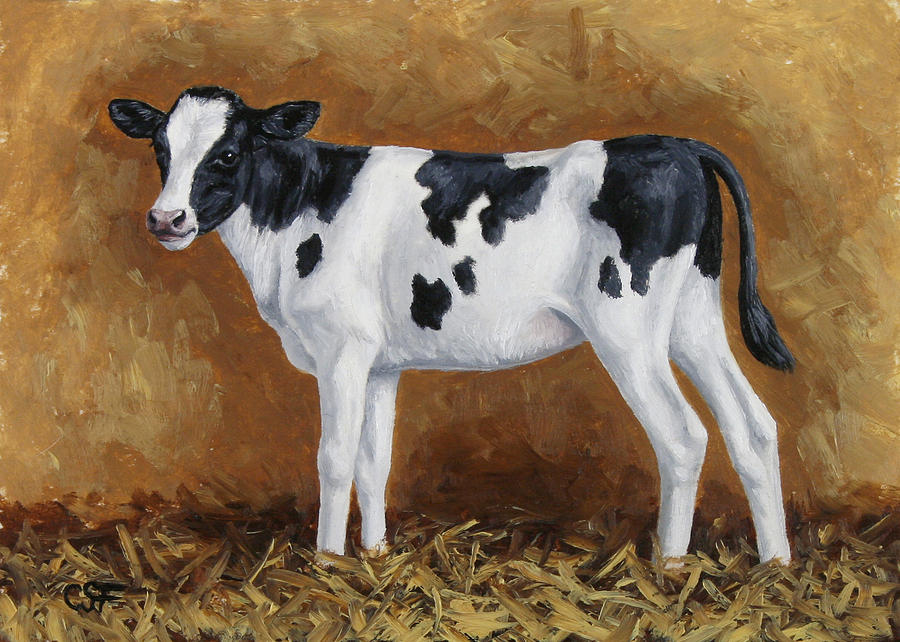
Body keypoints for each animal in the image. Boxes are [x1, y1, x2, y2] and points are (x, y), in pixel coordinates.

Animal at [108, 86, 795, 564]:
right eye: (161, 150)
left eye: (227, 153)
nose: (165, 219)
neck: (304, 205)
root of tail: (681, 144)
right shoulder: (380, 362)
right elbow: (373, 460)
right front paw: (375, 554)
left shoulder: (341, 350)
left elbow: (333, 456)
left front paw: (328, 560)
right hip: (692, 320)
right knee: (752, 427)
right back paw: (774, 562)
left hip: (628, 327)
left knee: (682, 436)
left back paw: (669, 567)